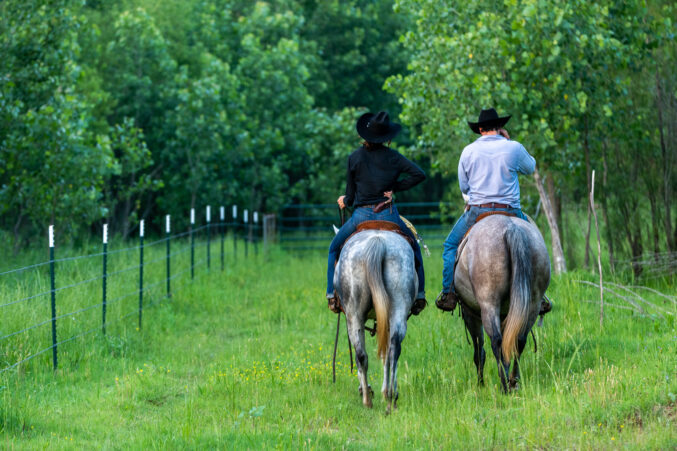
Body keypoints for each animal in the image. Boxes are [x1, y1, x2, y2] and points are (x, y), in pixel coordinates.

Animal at [334, 231, 418, 412]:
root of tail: (377, 242)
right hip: (396, 312)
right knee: (390, 351)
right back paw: (391, 397)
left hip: (355, 317)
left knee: (364, 355)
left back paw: (369, 399)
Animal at [454, 214, 548, 394]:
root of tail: (511, 229)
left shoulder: (470, 314)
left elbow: (479, 352)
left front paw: (480, 383)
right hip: (532, 305)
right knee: (519, 340)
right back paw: (513, 381)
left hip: (489, 305)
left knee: (496, 342)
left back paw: (504, 386)